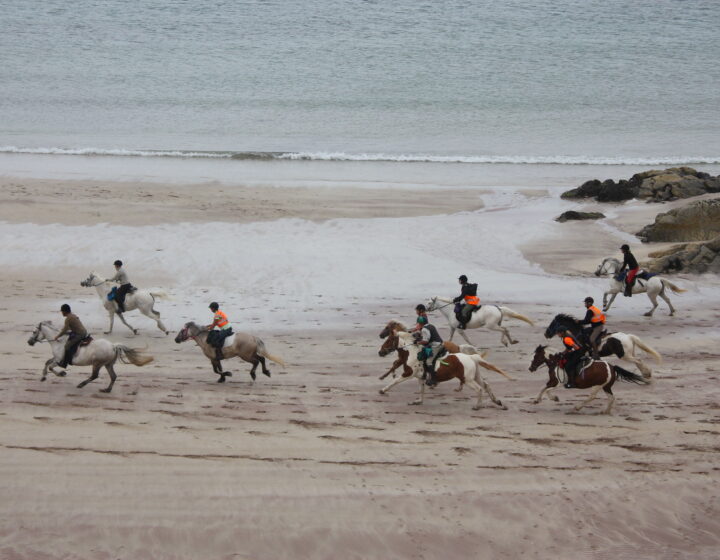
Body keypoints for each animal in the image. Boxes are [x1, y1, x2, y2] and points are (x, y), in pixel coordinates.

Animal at [27, 320, 155, 394]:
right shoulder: (56, 359)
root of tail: (113, 346)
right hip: (108, 364)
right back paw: (107, 390)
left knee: (95, 375)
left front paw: (61, 374)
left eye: (34, 332)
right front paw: (43, 377)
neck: (59, 341)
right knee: (113, 376)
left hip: (97, 364)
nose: (29, 342)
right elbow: (47, 362)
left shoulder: (59, 361)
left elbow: (50, 366)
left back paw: (81, 384)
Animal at [376, 328, 512, 412]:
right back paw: (498, 402)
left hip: (467, 379)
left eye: (389, 340)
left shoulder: (408, 373)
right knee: (486, 385)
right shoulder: (421, 377)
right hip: (475, 376)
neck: (412, 352)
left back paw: (477, 406)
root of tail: (471, 357)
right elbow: (421, 390)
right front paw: (418, 401)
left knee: (479, 389)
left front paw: (382, 390)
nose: (380, 352)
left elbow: (394, 382)